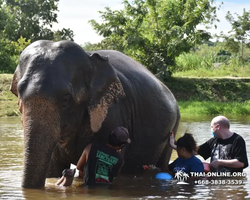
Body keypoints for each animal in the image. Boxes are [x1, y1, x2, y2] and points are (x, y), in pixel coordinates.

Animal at [10, 39, 180, 188]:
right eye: (19, 93)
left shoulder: (113, 114)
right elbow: (53, 167)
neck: (90, 58)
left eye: (66, 99)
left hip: (173, 126)